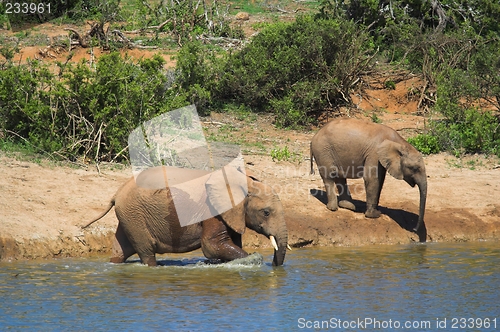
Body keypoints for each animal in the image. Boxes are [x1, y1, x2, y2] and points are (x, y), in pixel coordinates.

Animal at [82, 166, 290, 268]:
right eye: (266, 212)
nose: (273, 265)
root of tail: (117, 193)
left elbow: (230, 243)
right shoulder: (212, 209)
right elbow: (211, 245)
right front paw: (253, 259)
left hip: (129, 216)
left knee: (121, 249)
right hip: (135, 216)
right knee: (146, 252)